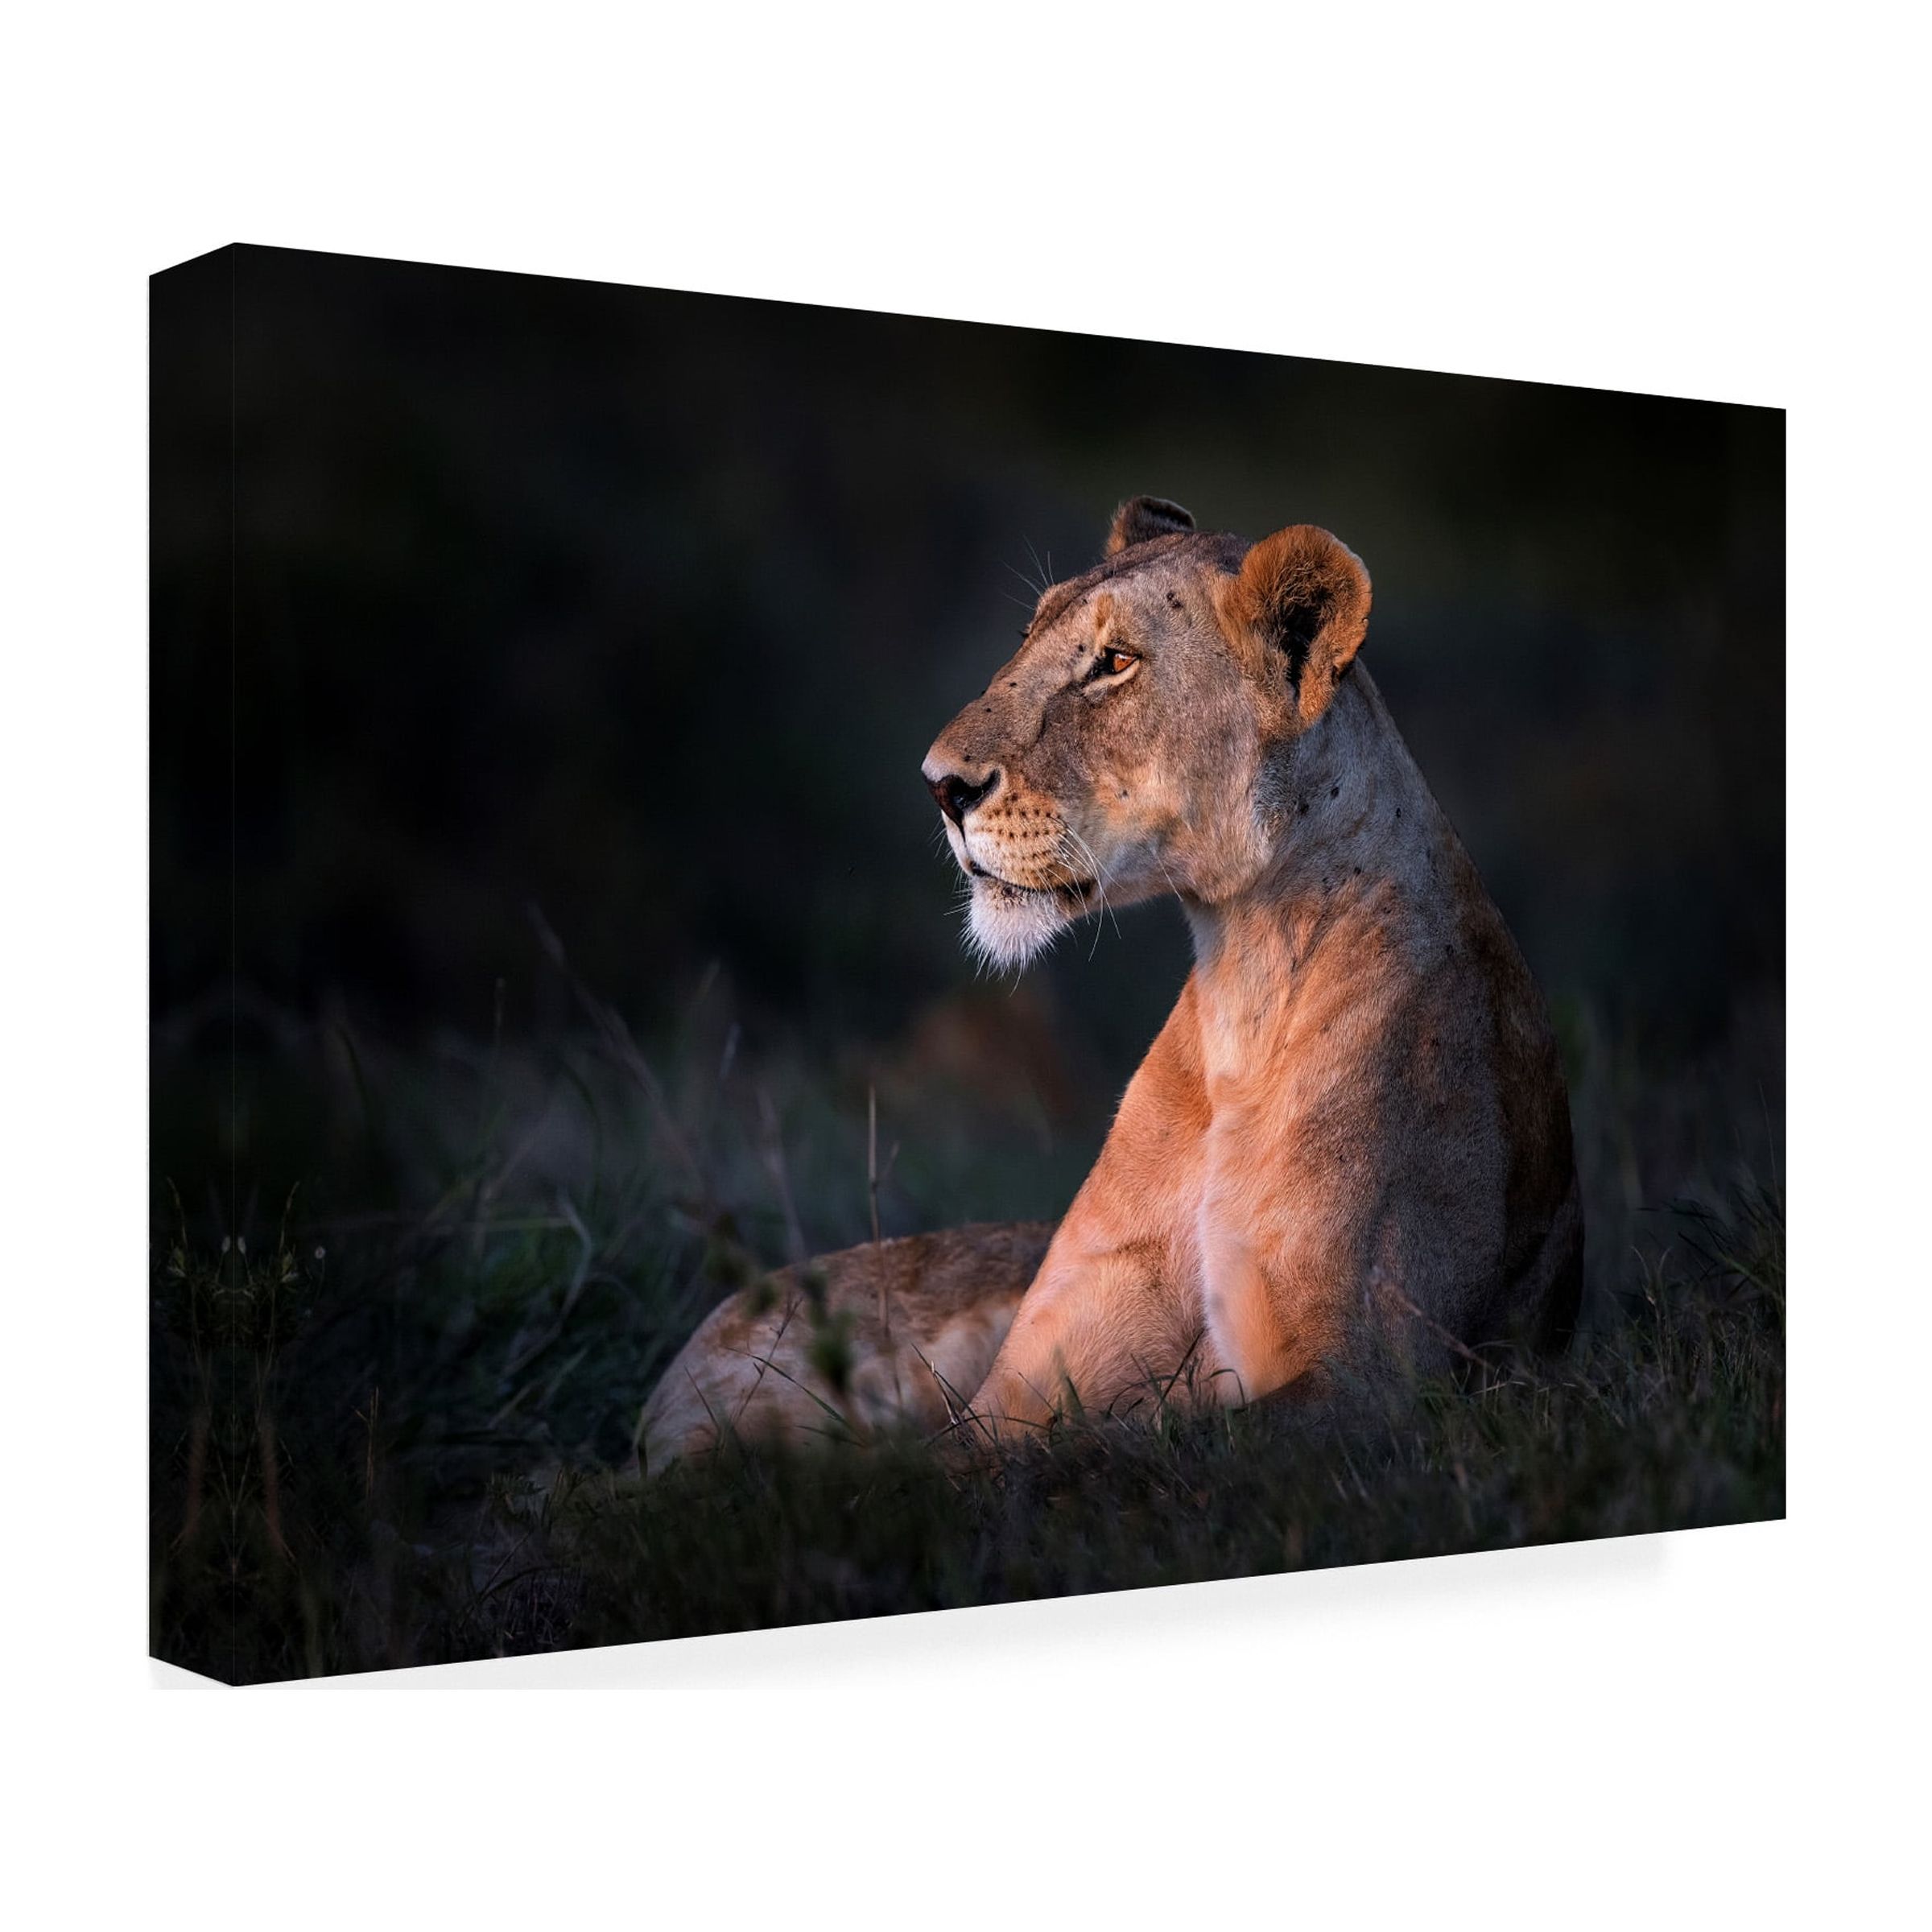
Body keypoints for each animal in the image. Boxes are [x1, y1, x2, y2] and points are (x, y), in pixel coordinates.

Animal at [639, 496, 1580, 1461]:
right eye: (1027, 637)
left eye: (1114, 664)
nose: (940, 787)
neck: (1242, 986)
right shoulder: (1017, 1384)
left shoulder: (1374, 1385)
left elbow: (1125, 1447)